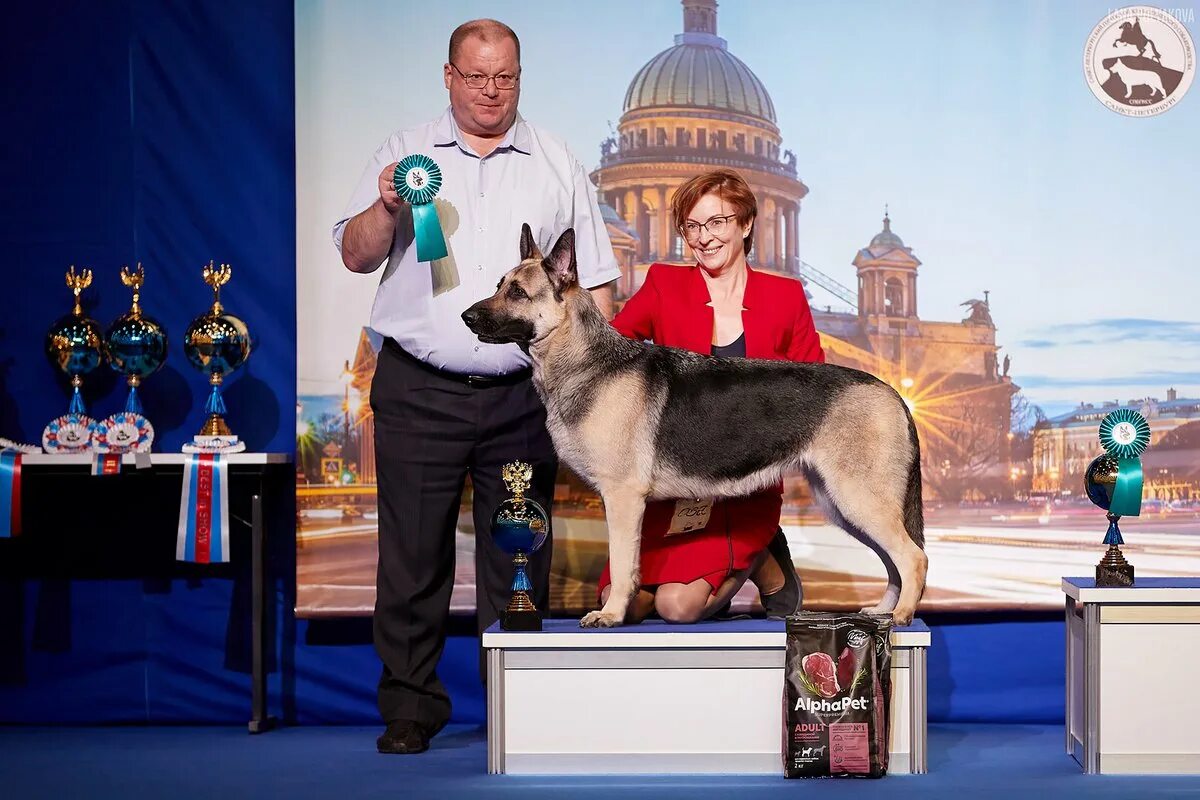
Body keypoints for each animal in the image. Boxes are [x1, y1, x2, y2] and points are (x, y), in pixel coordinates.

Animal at [460, 224, 926, 623]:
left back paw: (903, 615)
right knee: (894, 561)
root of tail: (891, 392)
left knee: (913, 557)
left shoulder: (623, 499)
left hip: (858, 501)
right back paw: (884, 612)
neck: (586, 359)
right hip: (844, 505)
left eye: (518, 292)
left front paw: (611, 614)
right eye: (499, 285)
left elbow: (622, 563)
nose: (466, 317)